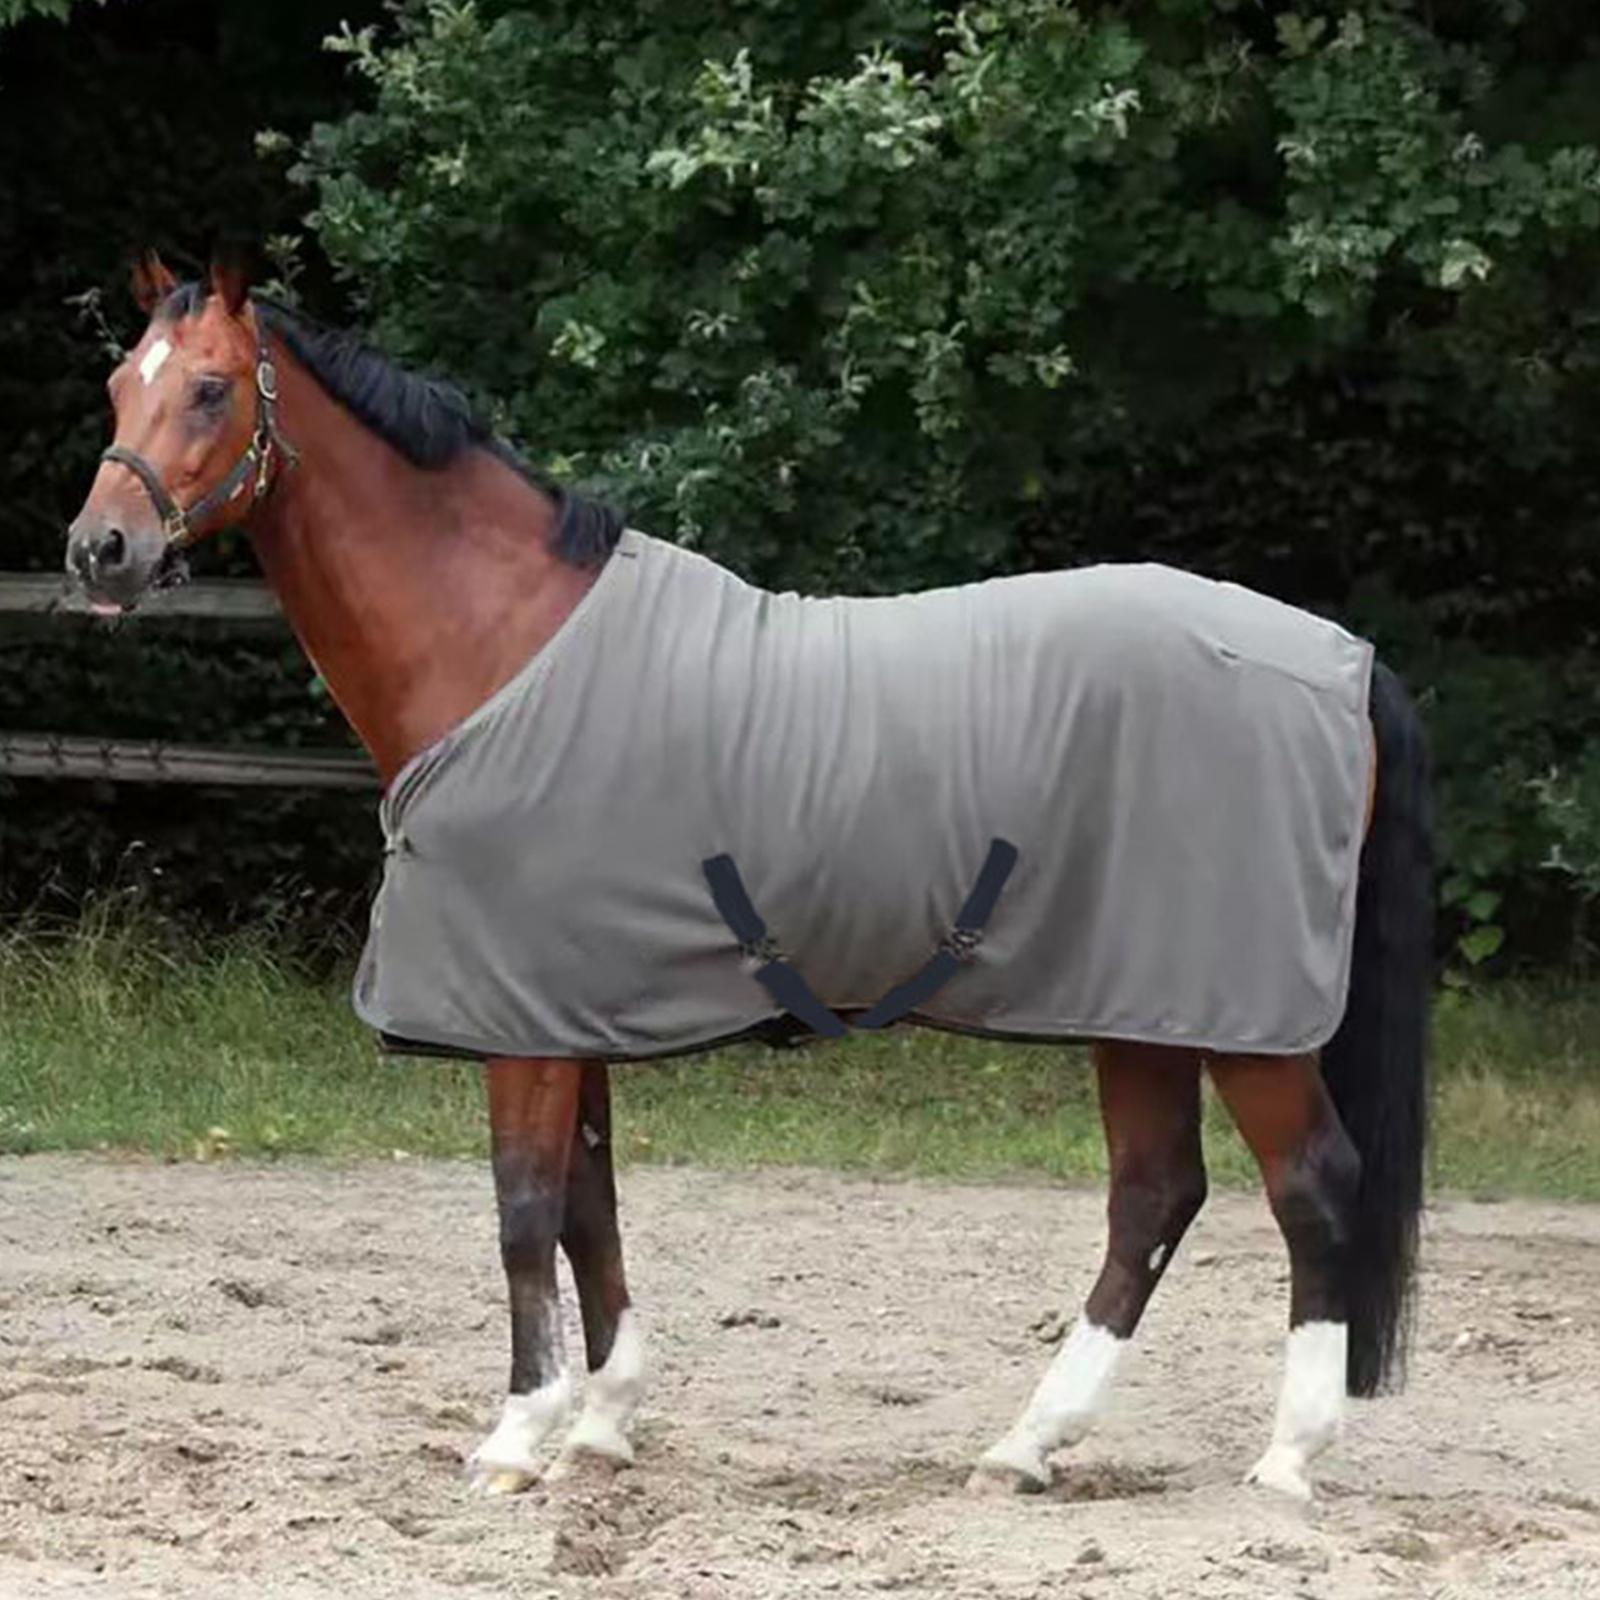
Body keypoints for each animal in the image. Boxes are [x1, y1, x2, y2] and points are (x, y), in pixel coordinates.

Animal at [65, 251, 1432, 1504]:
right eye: (118, 384)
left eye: (209, 388)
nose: (99, 550)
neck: (501, 641)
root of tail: (1344, 659)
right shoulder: (566, 1004)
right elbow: (590, 1203)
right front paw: (605, 1423)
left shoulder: (522, 1023)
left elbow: (523, 1207)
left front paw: (516, 1437)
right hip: (1139, 1006)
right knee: (1154, 1195)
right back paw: (1025, 1444)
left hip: (1242, 1022)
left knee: (1310, 1187)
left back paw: (1286, 1458)